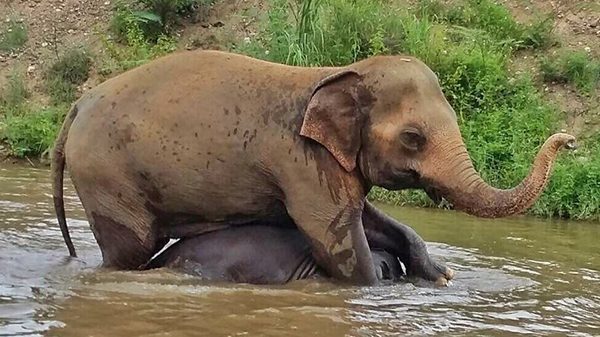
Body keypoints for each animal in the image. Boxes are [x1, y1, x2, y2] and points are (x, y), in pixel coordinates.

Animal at [51, 50, 576, 284]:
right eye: (413, 138)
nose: (570, 139)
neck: (338, 73)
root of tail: (76, 106)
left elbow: (370, 219)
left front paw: (439, 275)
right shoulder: (302, 160)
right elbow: (336, 237)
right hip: (107, 179)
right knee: (130, 251)